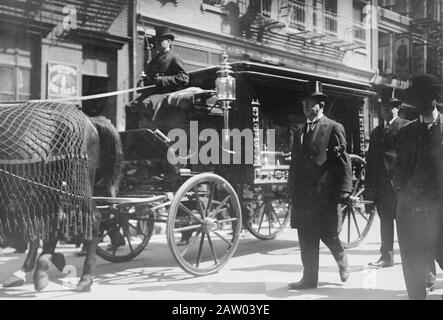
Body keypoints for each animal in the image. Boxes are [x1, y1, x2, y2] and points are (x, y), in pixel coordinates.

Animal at [1, 108, 123, 292]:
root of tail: (89, 119)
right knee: (51, 221)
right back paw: (40, 266)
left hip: (75, 185)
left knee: (93, 219)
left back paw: (84, 278)